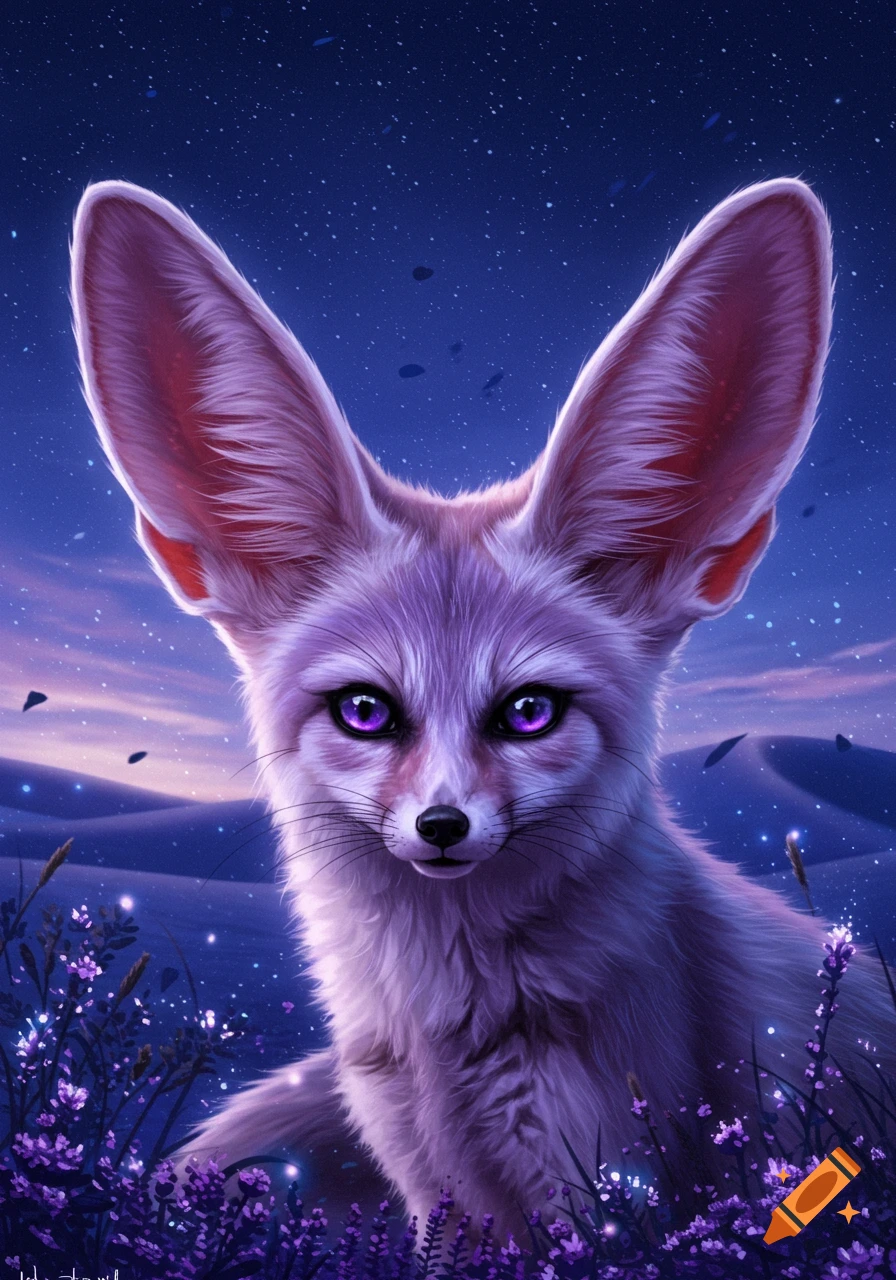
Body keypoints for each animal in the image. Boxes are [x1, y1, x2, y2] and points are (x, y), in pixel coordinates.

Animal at [71, 177, 895, 1246]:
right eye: (366, 711)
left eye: (530, 711)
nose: (442, 825)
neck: (446, 1039)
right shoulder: (438, 1186)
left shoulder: (609, 1189)